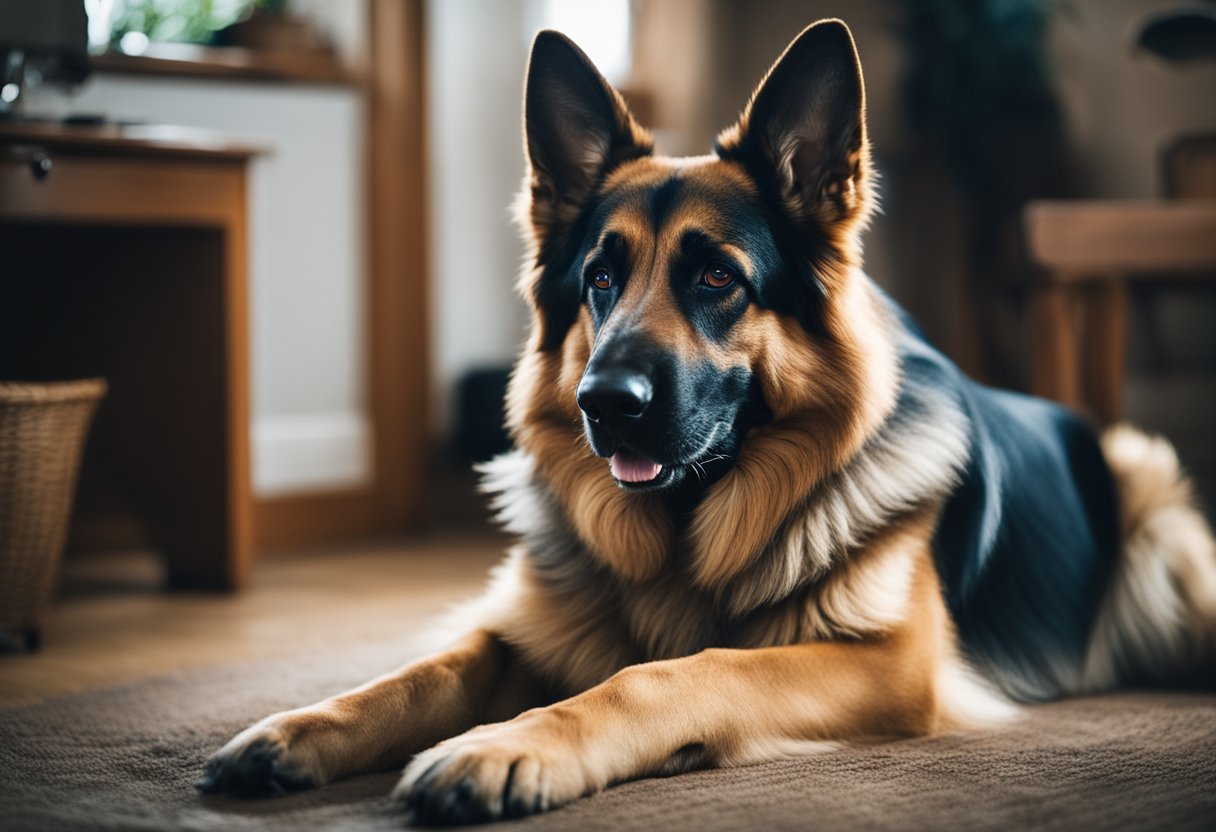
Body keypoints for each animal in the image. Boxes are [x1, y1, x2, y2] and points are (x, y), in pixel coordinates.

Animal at [199, 19, 1216, 827]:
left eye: (718, 277)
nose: (602, 404)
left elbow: (672, 672)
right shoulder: (530, 629)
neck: (691, 534)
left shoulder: (887, 664)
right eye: (600, 279)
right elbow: (426, 671)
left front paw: (503, 746)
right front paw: (298, 728)